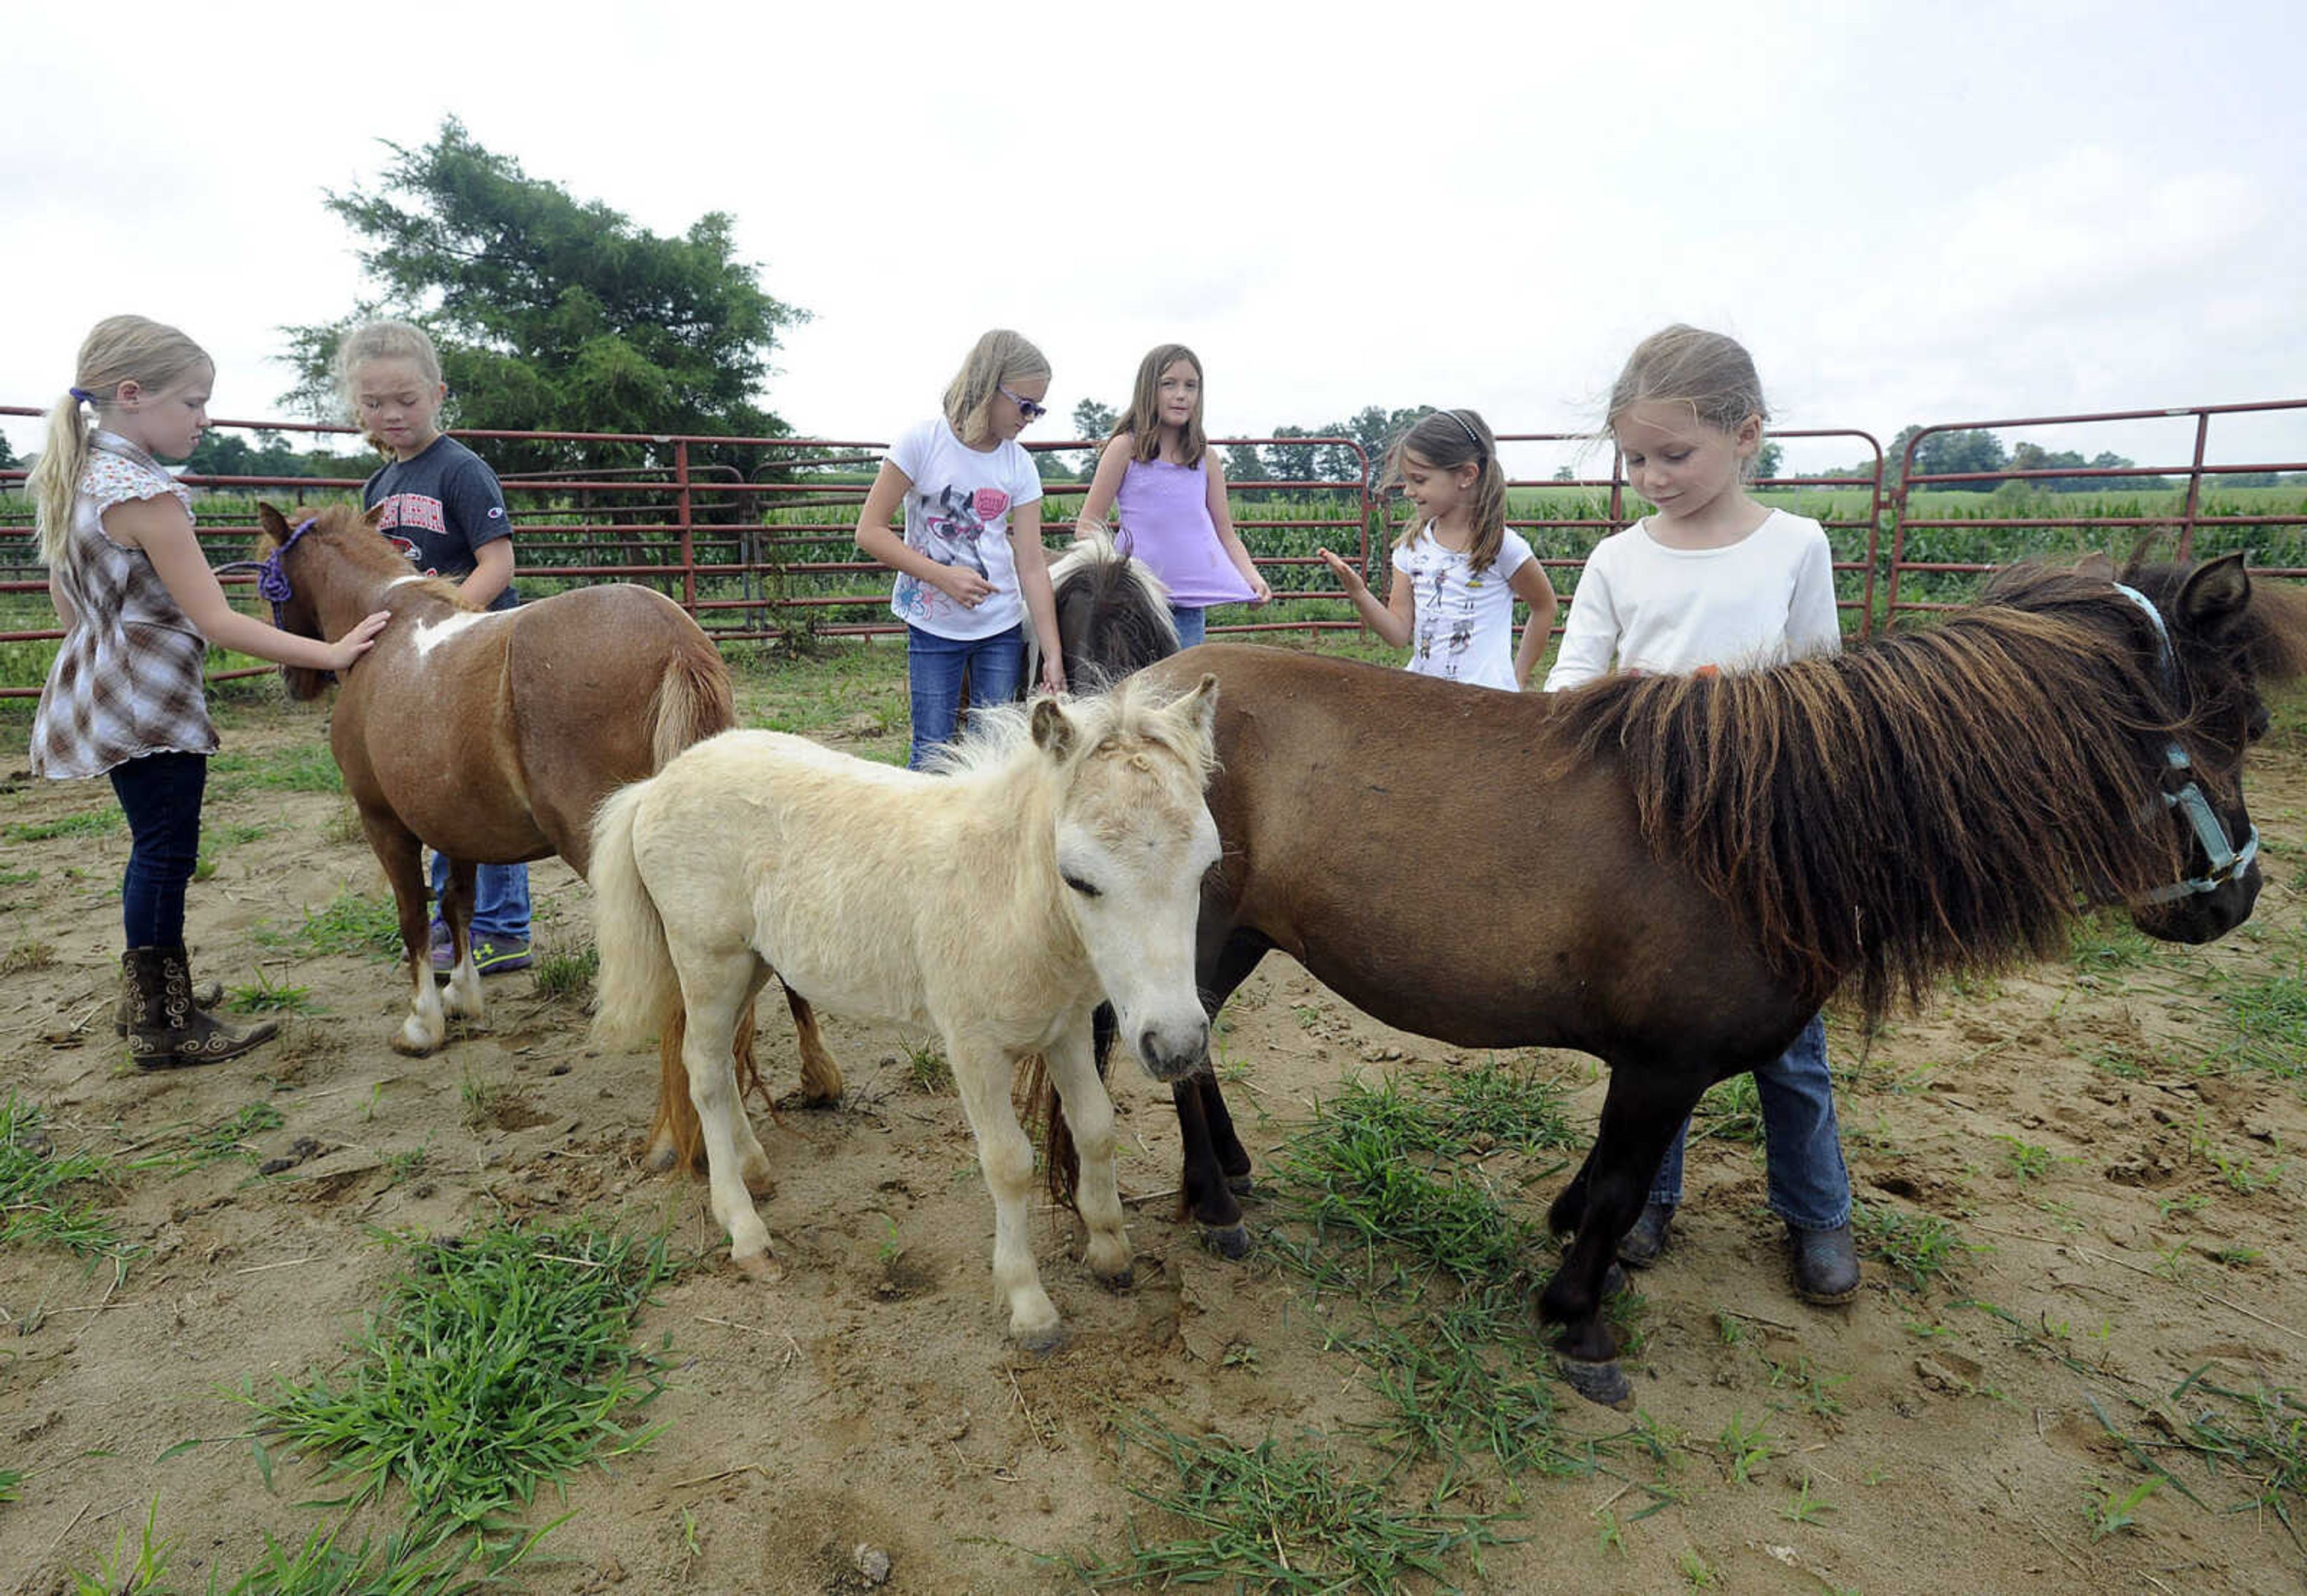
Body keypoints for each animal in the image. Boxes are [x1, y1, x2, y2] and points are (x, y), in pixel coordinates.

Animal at [250, 498, 830, 1158]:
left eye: (271, 579)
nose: (292, 680)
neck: (387, 635)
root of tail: (673, 641)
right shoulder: (459, 825)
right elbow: (457, 903)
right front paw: (464, 995)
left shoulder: (384, 823)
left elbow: (413, 917)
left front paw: (423, 1022)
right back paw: (816, 1079)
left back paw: (676, 1134)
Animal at [591, 669, 1227, 1347]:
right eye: (1080, 878)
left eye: (1206, 869)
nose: (1177, 1045)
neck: (1007, 894)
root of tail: (658, 783)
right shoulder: (973, 1046)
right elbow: (1008, 1163)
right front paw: (1030, 1306)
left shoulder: (1067, 1026)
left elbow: (1097, 1128)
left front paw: (1110, 1251)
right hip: (707, 959)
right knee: (705, 1071)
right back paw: (746, 1232)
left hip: (753, 961)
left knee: (725, 1059)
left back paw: (755, 1168)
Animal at [1047, 556, 2307, 1402]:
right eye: (2242, 720)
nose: (2235, 898)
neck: (1765, 829)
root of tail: (1137, 694)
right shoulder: (1662, 1065)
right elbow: (1616, 1186)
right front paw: (1579, 1320)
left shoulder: (1658, 1070)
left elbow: (1615, 1177)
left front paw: (1576, 1259)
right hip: (1196, 937)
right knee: (1165, 1051)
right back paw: (1210, 1202)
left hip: (1233, 939)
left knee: (1185, 1052)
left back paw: (1218, 1177)